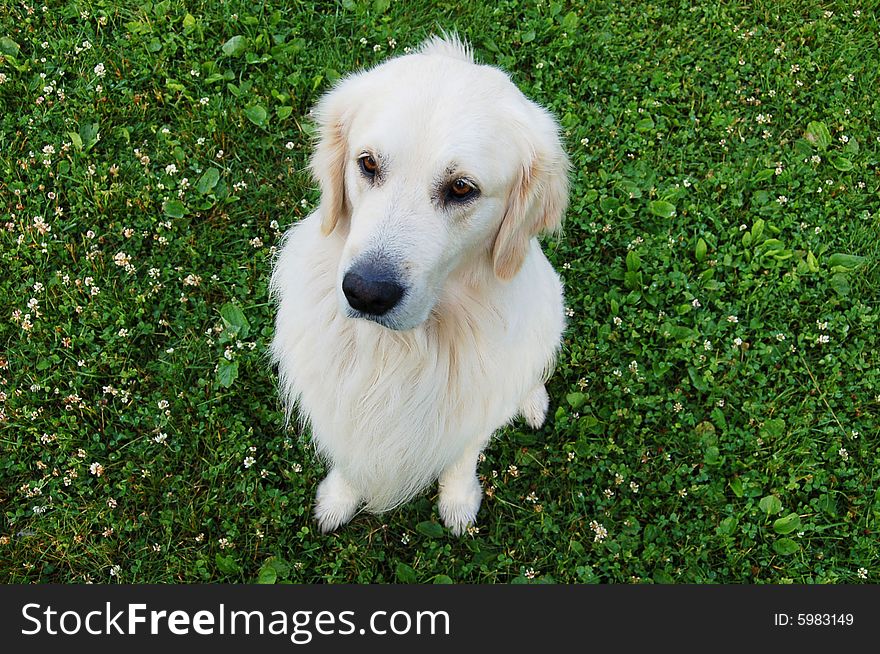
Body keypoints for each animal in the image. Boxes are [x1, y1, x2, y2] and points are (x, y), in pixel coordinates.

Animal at [270, 36, 572, 536]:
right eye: (367, 163)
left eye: (462, 188)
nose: (366, 292)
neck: (403, 351)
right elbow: (350, 454)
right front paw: (338, 498)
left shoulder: (474, 416)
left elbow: (463, 458)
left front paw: (459, 502)